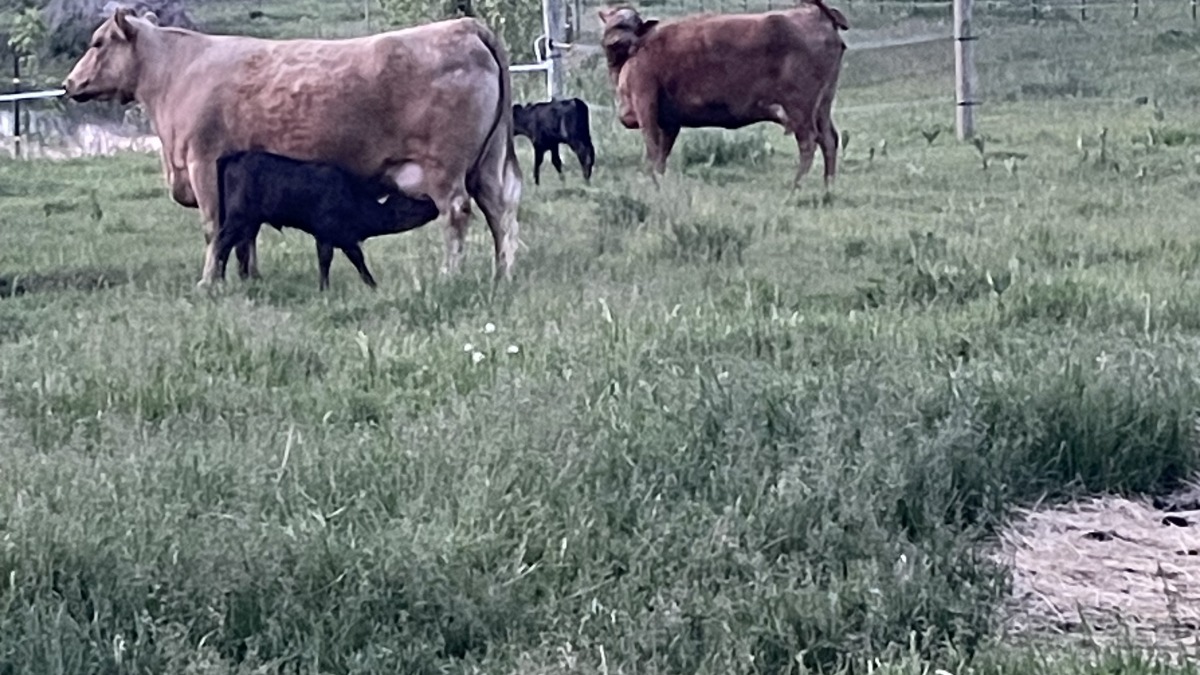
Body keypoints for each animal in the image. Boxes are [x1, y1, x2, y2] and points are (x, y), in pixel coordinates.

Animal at [213, 150, 442, 291]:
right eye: (410, 202)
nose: (434, 205)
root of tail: (234, 156)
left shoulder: (345, 238)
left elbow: (356, 261)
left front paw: (372, 285)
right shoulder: (327, 235)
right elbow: (329, 261)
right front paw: (326, 288)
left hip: (249, 222)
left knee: (236, 248)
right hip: (238, 218)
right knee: (222, 244)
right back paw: (217, 280)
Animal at [597, 1, 848, 190]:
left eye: (631, 24)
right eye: (612, 23)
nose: (616, 41)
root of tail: (815, 12)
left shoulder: (645, 104)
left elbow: (651, 148)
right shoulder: (670, 121)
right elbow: (661, 156)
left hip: (800, 109)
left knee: (808, 142)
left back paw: (796, 186)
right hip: (822, 106)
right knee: (829, 139)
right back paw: (828, 187)